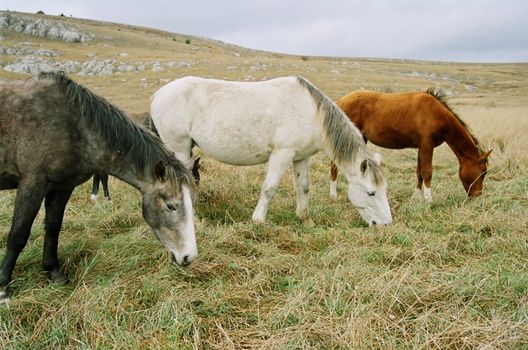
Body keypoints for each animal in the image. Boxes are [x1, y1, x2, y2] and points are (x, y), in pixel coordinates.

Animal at [0, 72, 197, 300]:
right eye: (171, 206)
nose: (189, 256)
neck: (72, 125)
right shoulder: (32, 185)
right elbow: (18, 235)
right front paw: (3, 287)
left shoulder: (62, 187)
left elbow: (53, 228)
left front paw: (54, 273)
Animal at [152, 75, 392, 226]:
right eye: (371, 192)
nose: (386, 224)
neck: (312, 113)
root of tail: (158, 94)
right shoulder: (282, 154)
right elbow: (269, 188)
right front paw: (258, 220)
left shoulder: (301, 158)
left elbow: (303, 187)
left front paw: (305, 219)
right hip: (179, 149)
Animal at [330, 88, 490, 202]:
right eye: (483, 172)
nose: (477, 197)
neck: (438, 114)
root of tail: (340, 101)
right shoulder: (427, 145)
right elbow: (427, 172)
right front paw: (429, 200)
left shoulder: (421, 146)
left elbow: (419, 172)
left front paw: (416, 196)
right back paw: (333, 194)